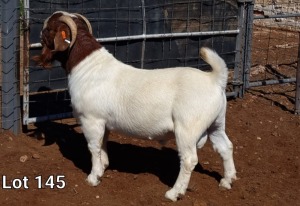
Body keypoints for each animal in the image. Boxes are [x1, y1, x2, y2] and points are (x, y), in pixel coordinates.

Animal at [34, 11, 237, 201]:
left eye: (48, 29)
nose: (39, 35)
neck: (88, 66)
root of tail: (215, 79)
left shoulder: (91, 119)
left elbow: (93, 147)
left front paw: (93, 178)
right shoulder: (104, 122)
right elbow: (103, 144)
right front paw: (103, 167)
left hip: (187, 128)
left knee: (189, 159)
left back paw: (174, 193)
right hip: (216, 123)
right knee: (225, 146)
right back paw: (227, 181)